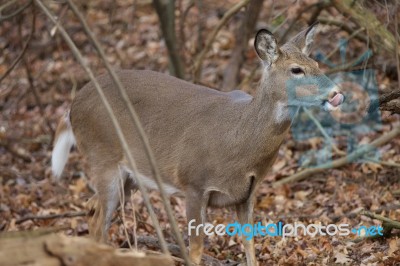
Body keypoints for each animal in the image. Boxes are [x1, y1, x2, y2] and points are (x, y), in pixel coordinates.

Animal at [50, 23, 344, 266]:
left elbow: (250, 246)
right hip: (103, 156)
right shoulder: (193, 183)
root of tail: (72, 106)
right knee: (99, 217)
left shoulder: (247, 193)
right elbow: (195, 251)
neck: (239, 140)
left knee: (92, 208)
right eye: (296, 69)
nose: (336, 93)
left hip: (130, 175)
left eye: (316, 62)